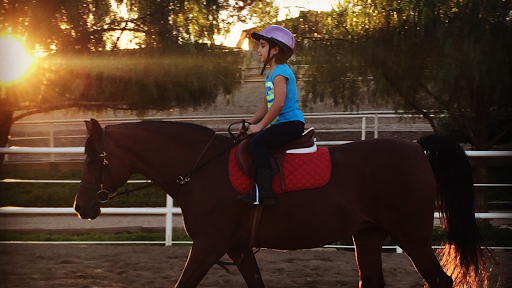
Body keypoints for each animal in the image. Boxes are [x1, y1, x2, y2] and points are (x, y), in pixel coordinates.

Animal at [74, 118, 490, 288]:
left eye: (94, 159)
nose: (81, 207)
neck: (202, 170)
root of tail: (416, 148)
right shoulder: (238, 248)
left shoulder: (208, 246)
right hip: (368, 235)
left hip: (412, 237)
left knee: (441, 280)